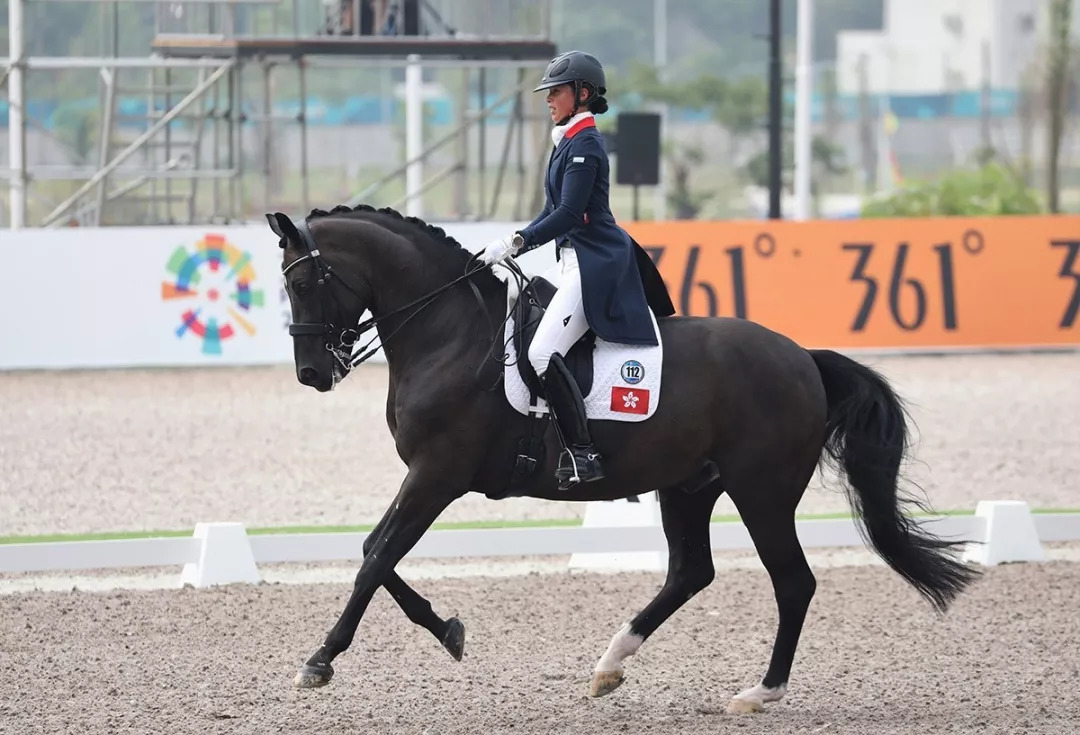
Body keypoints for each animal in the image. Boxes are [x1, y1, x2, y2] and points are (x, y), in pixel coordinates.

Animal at [267, 203, 980, 712]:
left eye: (305, 281)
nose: (310, 374)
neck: (449, 333)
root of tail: (803, 356)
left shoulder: (437, 474)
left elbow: (376, 559)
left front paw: (320, 661)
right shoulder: (430, 478)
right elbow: (374, 552)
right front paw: (447, 630)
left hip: (763, 490)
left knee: (792, 581)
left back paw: (760, 691)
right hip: (690, 486)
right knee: (691, 572)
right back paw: (610, 666)